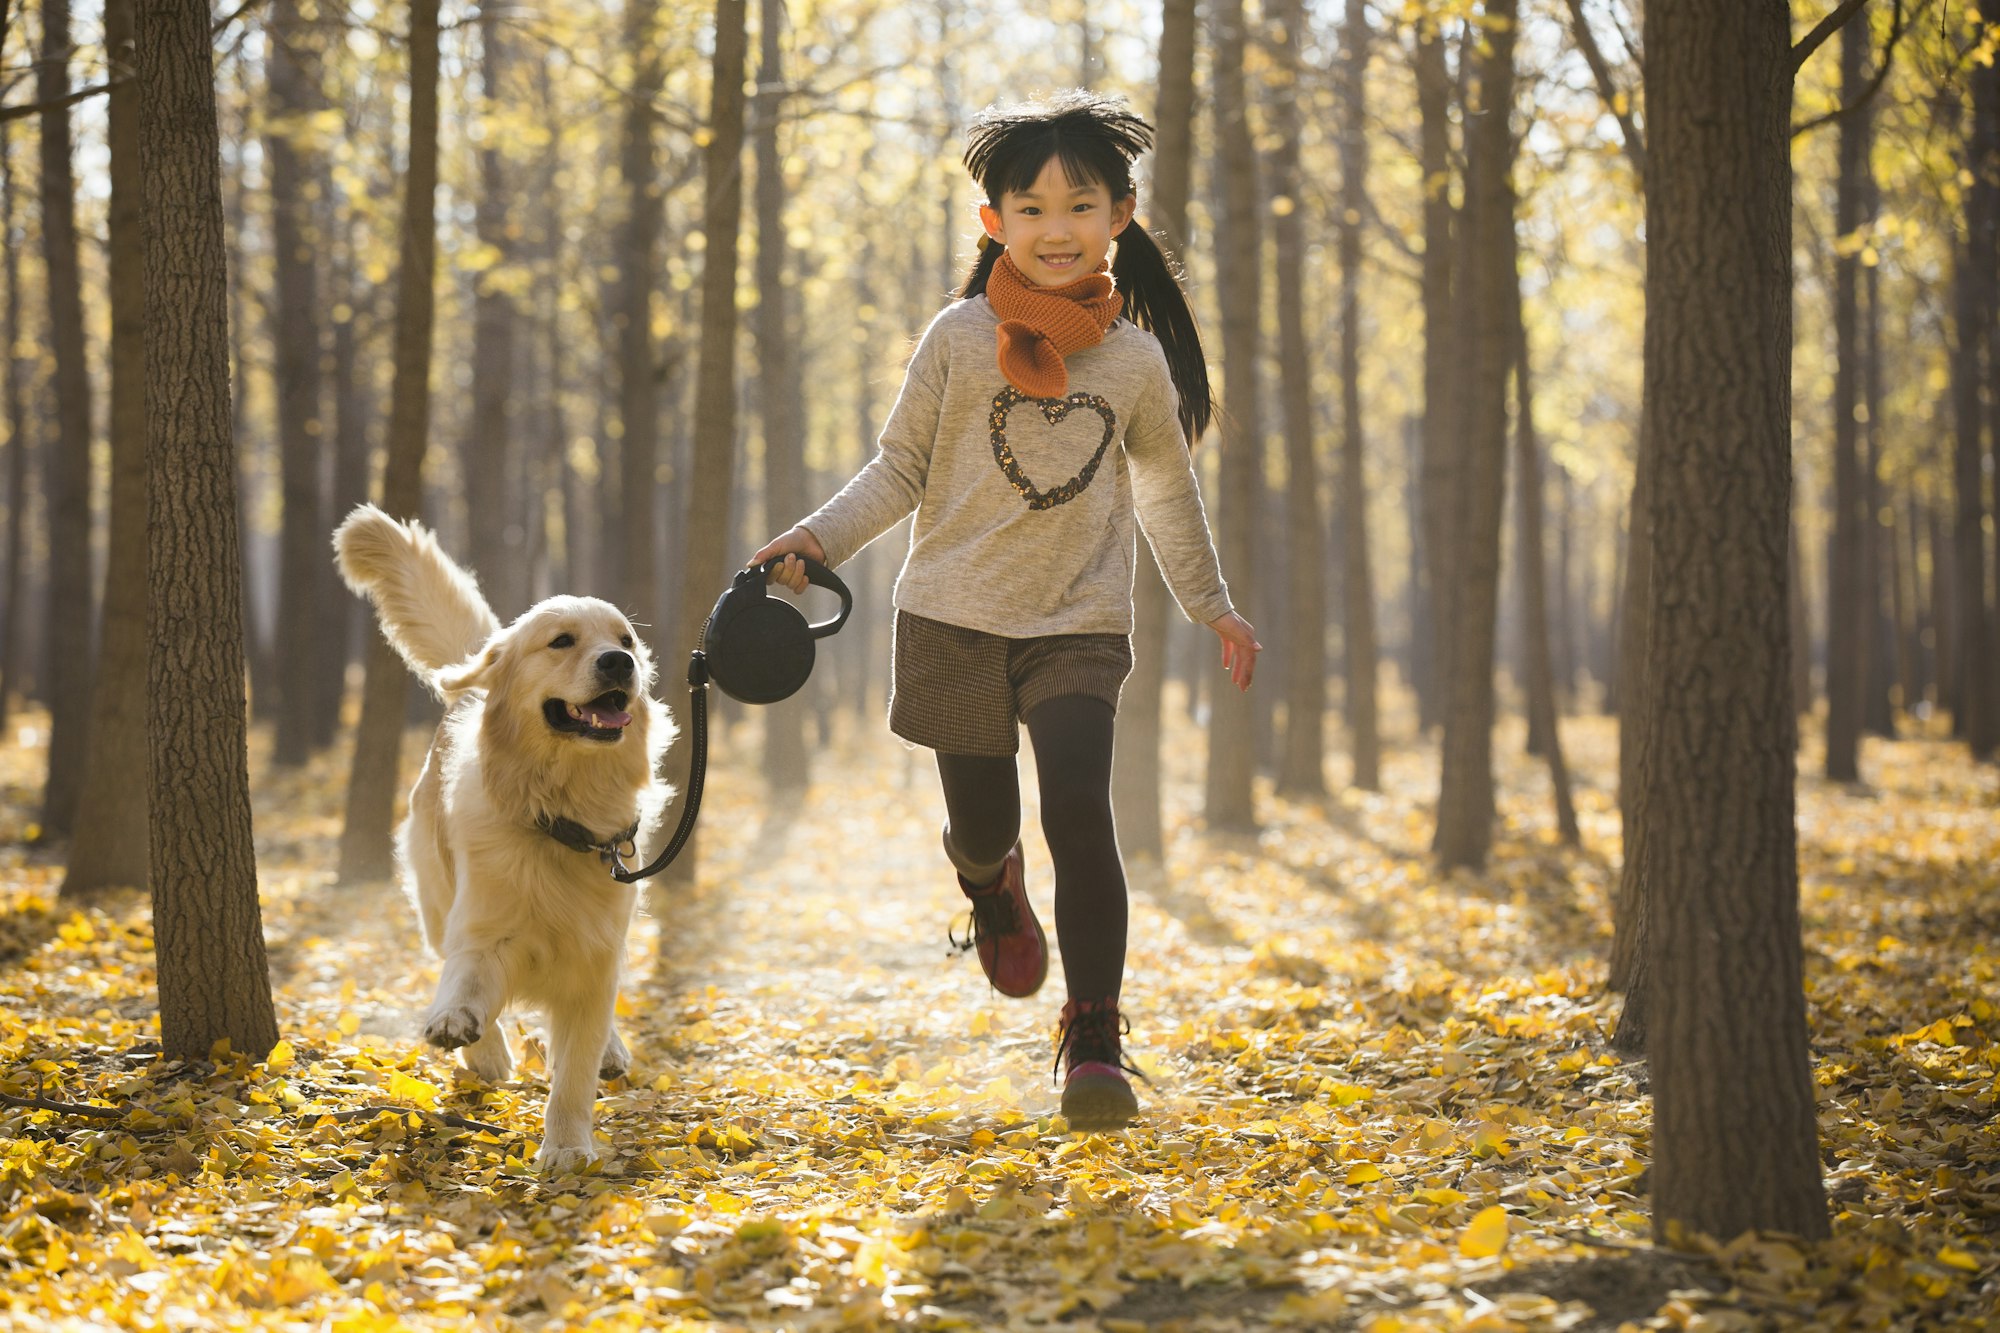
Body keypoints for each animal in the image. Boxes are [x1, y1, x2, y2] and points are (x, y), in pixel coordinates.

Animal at [330, 504, 672, 1168]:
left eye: (625, 640)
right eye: (561, 641)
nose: (620, 663)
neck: (559, 818)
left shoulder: (595, 955)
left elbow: (575, 1068)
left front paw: (566, 1147)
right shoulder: (483, 929)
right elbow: (466, 983)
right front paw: (464, 1030)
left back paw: (612, 1051)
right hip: (436, 898)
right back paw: (485, 1053)